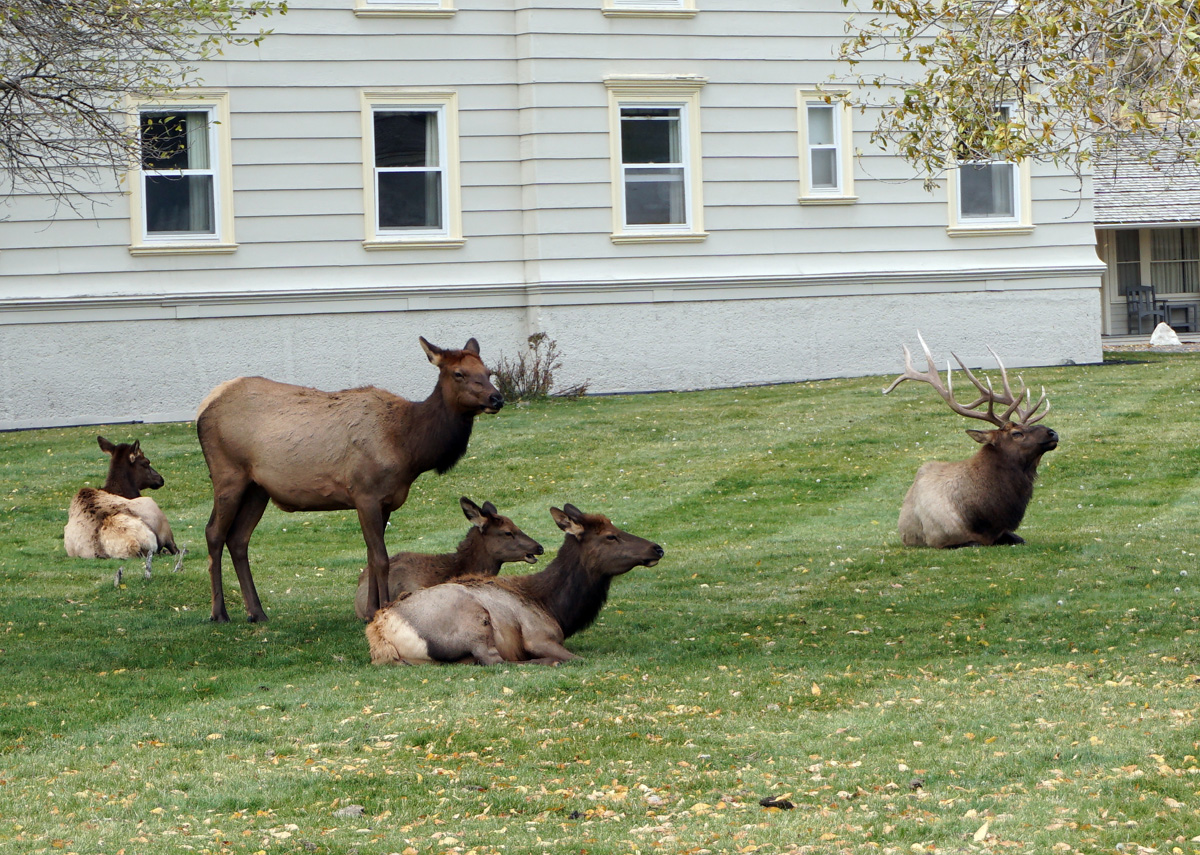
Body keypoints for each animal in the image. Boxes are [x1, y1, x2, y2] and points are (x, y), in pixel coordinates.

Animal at [195, 337, 503, 623]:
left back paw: (257, 612)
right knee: (214, 533)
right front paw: (382, 609)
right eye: (458, 373)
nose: (497, 399)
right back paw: (219, 613)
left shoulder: (385, 500)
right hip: (228, 473)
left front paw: (370, 610)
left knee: (238, 538)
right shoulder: (365, 493)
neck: (409, 448)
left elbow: (371, 555)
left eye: (488, 372)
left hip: (258, 488)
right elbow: (380, 558)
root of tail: (205, 405)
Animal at [365, 504, 664, 665]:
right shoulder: (539, 636)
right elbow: (576, 657)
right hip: (473, 619)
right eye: (610, 536)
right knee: (496, 660)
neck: (555, 608)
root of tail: (381, 635)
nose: (657, 548)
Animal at [883, 332, 1059, 548]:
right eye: (1016, 433)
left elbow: (1018, 539)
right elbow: (975, 542)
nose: (1052, 433)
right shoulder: (939, 539)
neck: (983, 517)